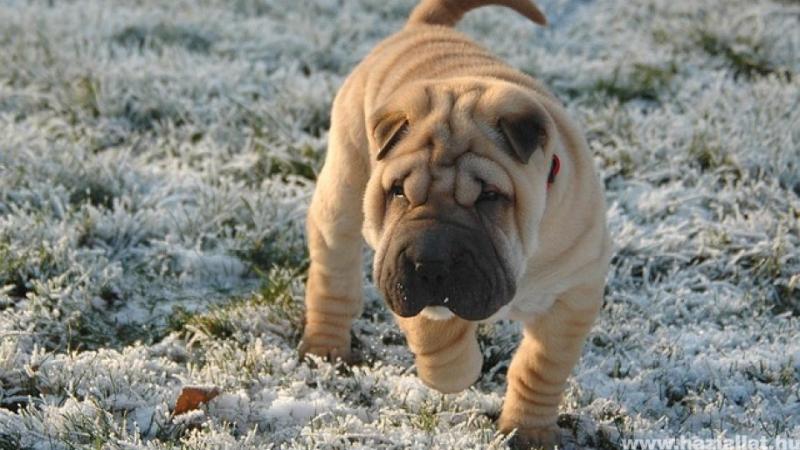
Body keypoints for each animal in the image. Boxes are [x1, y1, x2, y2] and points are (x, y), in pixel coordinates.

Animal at [300, 0, 612, 444]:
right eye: (399, 191)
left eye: (489, 196)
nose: (429, 261)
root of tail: (422, 28)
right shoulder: (398, 271)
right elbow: (437, 336)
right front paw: (460, 371)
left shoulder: (573, 294)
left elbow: (540, 367)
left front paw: (528, 431)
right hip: (342, 191)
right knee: (333, 276)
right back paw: (325, 347)